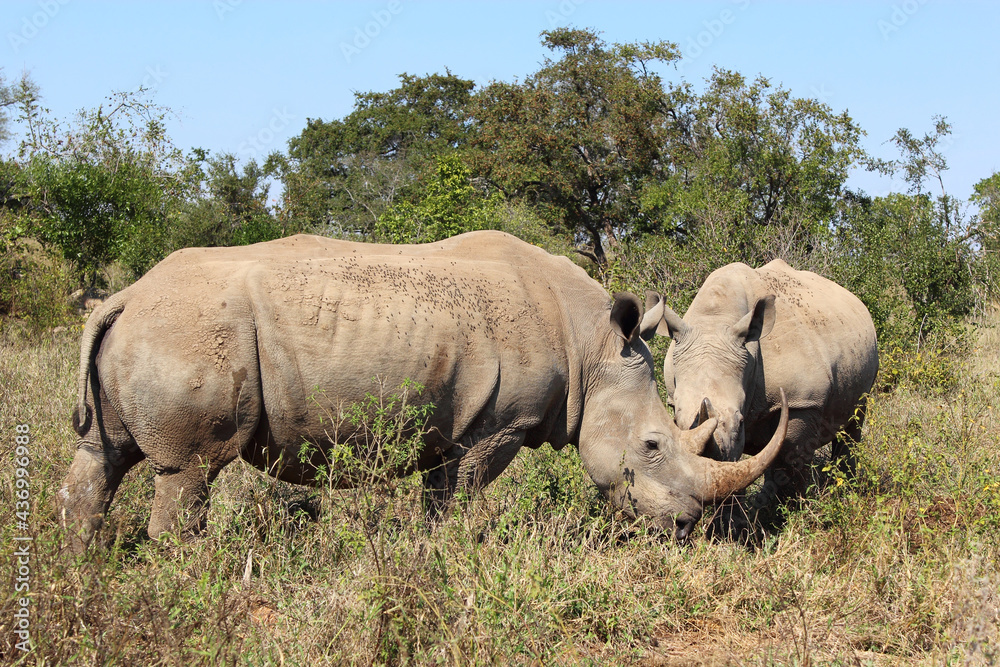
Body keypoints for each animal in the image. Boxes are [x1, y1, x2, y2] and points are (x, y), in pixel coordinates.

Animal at [59, 231, 789, 552]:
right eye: (653, 444)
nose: (685, 527)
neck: (591, 346)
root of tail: (124, 296)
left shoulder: (456, 424)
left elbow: (438, 499)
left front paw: (435, 557)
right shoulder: (496, 424)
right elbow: (459, 500)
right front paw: (460, 558)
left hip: (150, 332)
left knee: (101, 457)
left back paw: (80, 571)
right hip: (189, 333)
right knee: (188, 470)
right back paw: (187, 576)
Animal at [643, 259, 877, 510]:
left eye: (740, 422)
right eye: (676, 419)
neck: (715, 321)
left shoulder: (803, 401)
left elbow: (788, 462)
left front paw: (787, 513)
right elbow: (736, 475)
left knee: (853, 425)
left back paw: (845, 491)